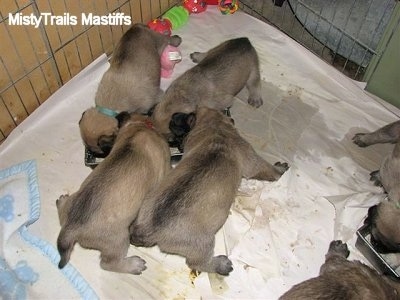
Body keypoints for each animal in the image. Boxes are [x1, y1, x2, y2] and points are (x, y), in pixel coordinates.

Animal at [55, 112, 169, 274]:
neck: (139, 126)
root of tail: (70, 227)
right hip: (118, 239)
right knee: (107, 264)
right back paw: (133, 265)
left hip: (71, 206)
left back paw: (61, 202)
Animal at [80, 23, 183, 157]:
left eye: (100, 152)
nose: (96, 155)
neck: (109, 107)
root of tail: (136, 27)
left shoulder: (154, 99)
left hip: (158, 42)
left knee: (166, 39)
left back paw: (175, 39)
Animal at [130, 106, 290, 276]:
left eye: (190, 113)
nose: (174, 115)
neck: (216, 127)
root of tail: (148, 229)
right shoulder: (253, 162)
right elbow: (268, 169)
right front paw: (280, 169)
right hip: (204, 244)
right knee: (197, 263)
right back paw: (220, 265)